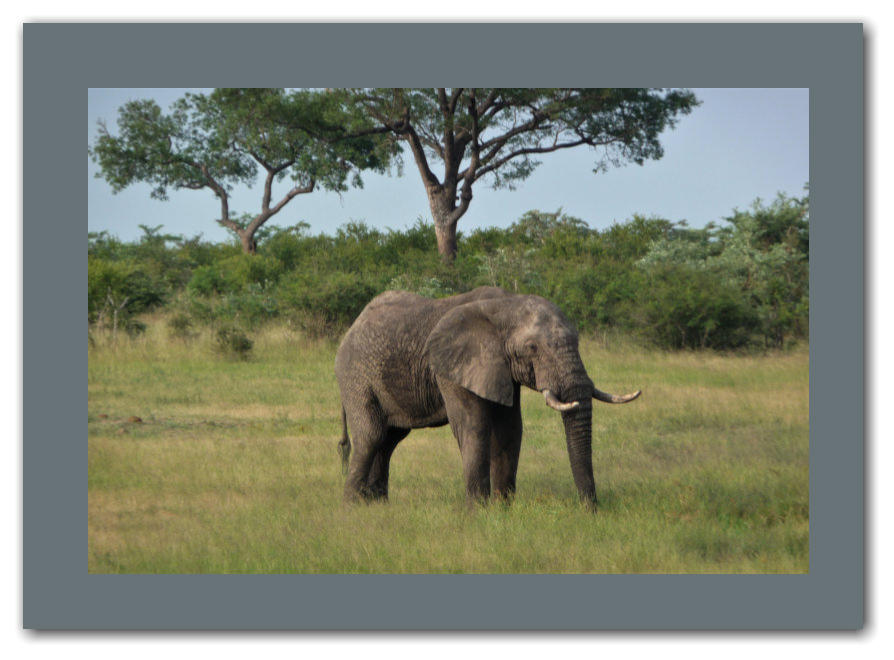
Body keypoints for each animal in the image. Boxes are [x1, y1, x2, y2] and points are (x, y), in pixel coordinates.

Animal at [334, 286, 640, 510]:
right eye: (532, 347)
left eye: (577, 341)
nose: (591, 509)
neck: (506, 305)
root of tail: (352, 327)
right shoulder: (453, 367)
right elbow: (474, 426)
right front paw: (478, 512)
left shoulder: (501, 369)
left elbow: (510, 429)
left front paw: (503, 509)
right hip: (355, 375)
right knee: (372, 435)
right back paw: (352, 507)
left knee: (389, 440)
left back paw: (377, 505)